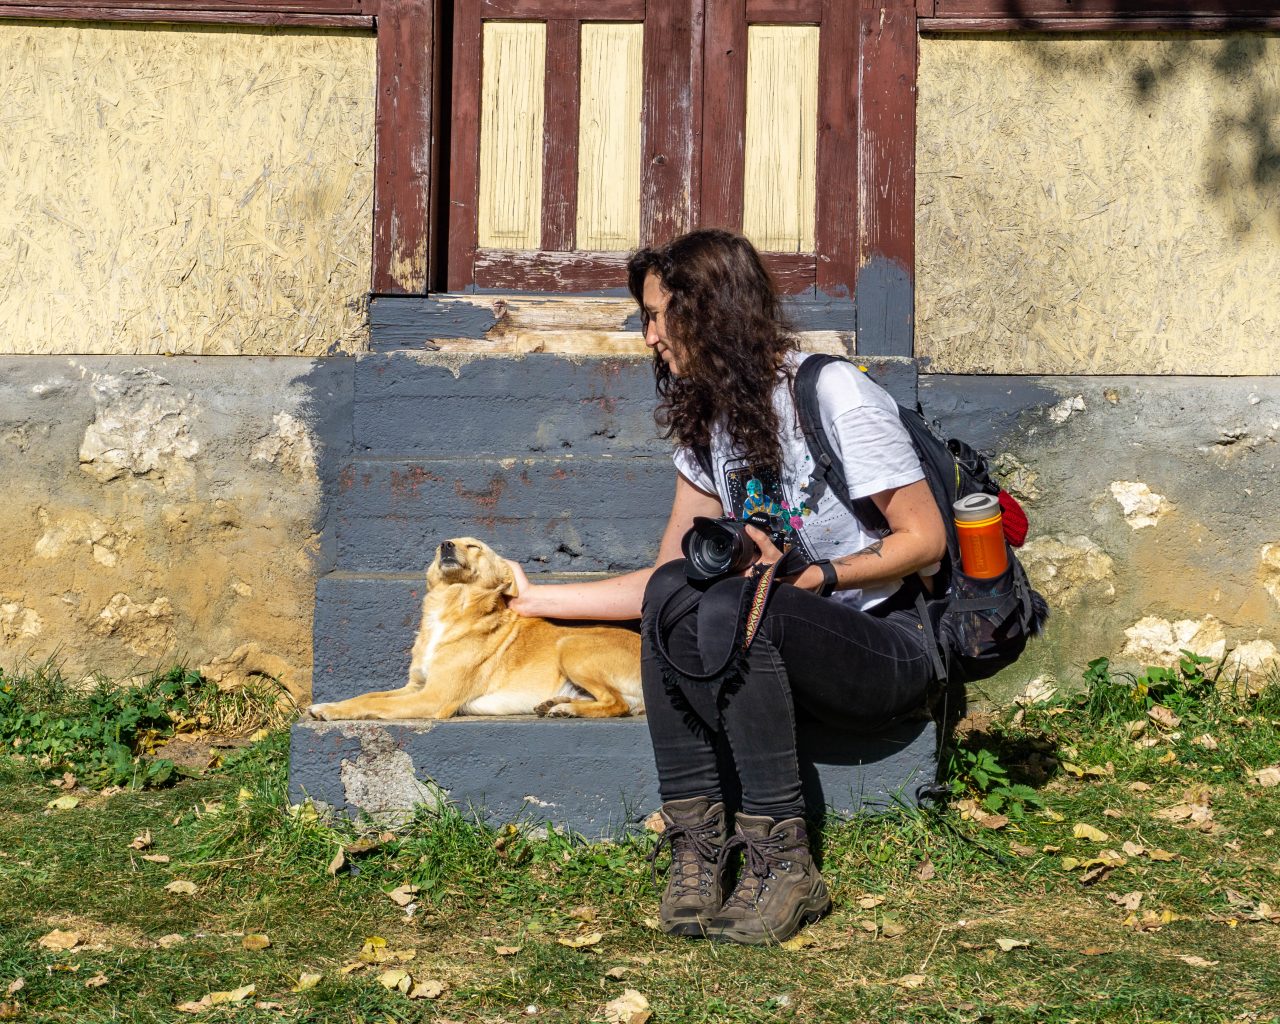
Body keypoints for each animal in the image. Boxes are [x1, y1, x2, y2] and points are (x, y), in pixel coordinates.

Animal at [305, 535, 645, 721]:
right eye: (438, 549)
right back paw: (559, 704)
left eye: (473, 546)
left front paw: (334, 712)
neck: (449, 607)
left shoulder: (433, 697)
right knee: (618, 702)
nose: (445, 545)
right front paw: (330, 704)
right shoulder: (416, 686)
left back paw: (569, 709)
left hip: (571, 646)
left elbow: (375, 705)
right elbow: (366, 696)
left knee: (617, 704)